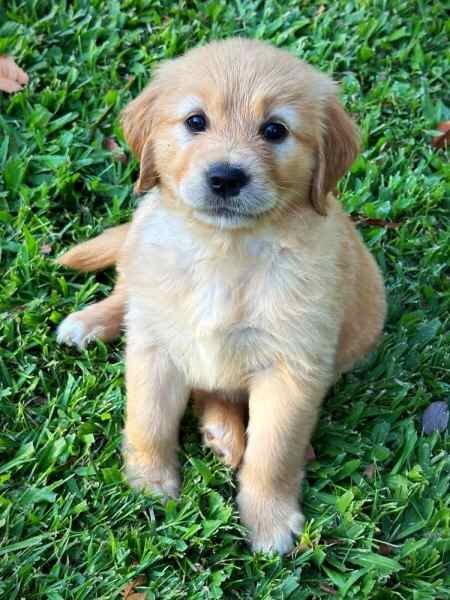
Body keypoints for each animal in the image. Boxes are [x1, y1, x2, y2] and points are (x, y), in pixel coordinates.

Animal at [55, 37, 386, 552]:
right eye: (196, 121)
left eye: (275, 130)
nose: (226, 177)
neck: (224, 248)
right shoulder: (155, 347)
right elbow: (148, 420)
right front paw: (148, 484)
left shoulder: (291, 367)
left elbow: (272, 453)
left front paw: (268, 520)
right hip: (139, 257)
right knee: (127, 294)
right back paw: (89, 323)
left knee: (216, 392)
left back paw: (222, 432)